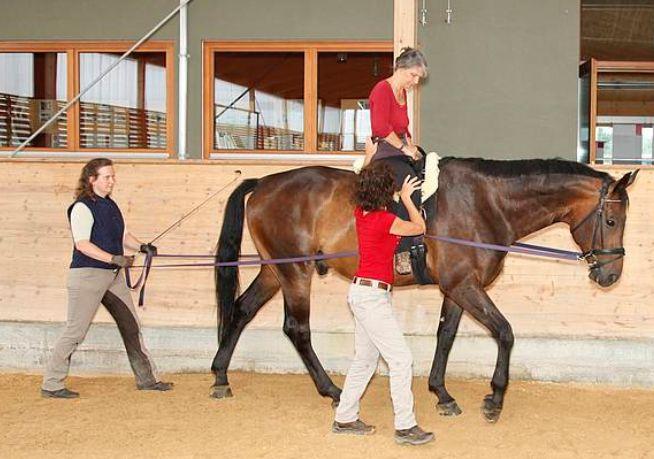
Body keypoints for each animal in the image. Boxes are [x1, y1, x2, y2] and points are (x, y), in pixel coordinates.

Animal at [211, 159, 640, 424]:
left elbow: (445, 335)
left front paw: (441, 393)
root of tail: (264, 183)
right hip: (295, 272)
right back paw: (332, 389)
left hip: (275, 270)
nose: (610, 275)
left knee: (242, 310)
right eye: (612, 220)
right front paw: (495, 399)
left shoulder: (457, 287)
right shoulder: (464, 285)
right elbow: (504, 332)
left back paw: (220, 376)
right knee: (296, 328)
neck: (486, 203)